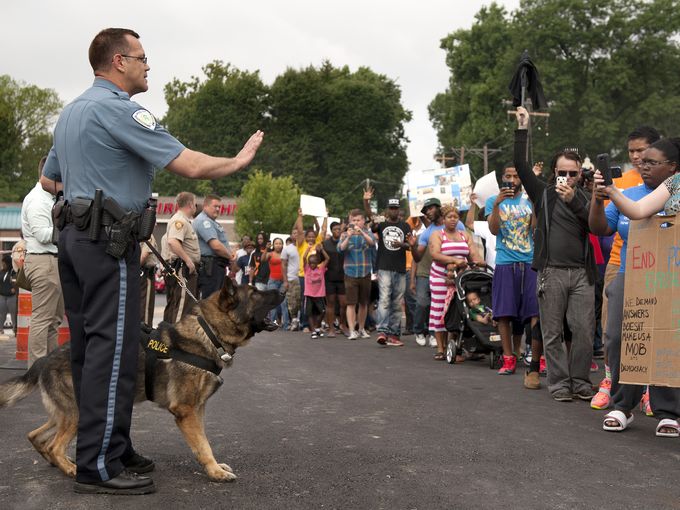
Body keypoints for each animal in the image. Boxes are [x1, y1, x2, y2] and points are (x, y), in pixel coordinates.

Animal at [0, 278, 282, 482]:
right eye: (255, 293)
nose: (280, 291)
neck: (209, 332)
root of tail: (45, 358)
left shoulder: (198, 409)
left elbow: (203, 441)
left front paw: (214, 467)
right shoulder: (187, 411)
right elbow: (203, 444)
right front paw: (215, 472)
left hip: (64, 413)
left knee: (37, 437)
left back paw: (60, 463)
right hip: (77, 413)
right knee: (55, 446)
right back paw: (71, 469)